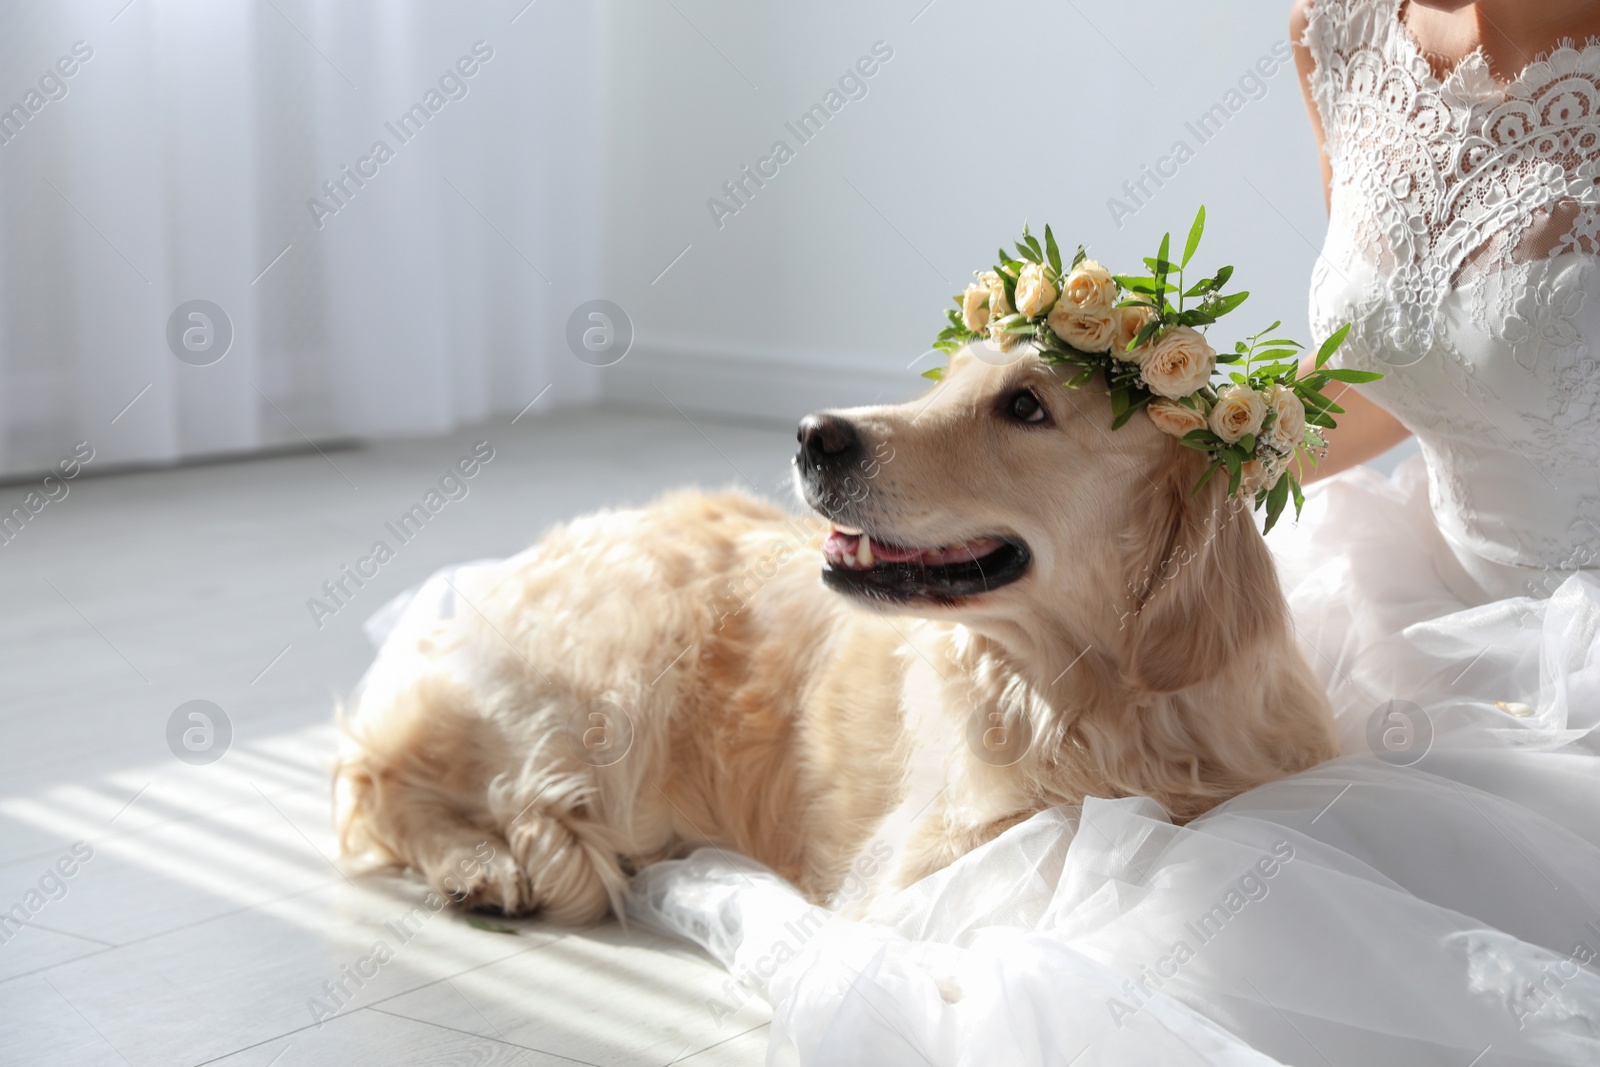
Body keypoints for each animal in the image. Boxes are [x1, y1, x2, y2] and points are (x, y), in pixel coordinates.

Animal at [334, 347, 1337, 921]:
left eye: (1025, 406)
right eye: (950, 377)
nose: (814, 432)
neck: (1092, 706)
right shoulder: (920, 873)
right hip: (613, 700)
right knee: (379, 774)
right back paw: (476, 864)